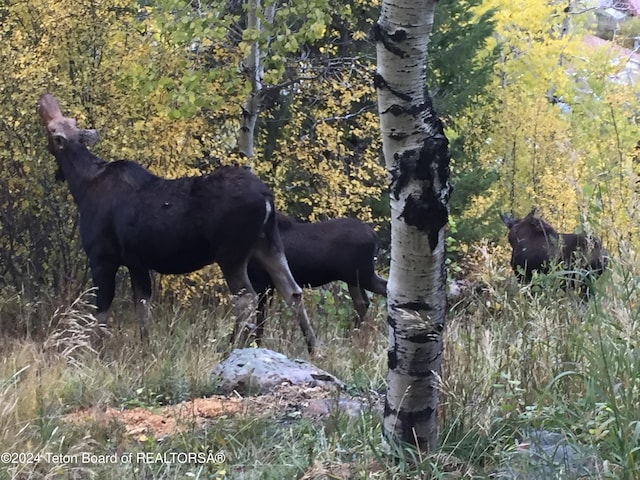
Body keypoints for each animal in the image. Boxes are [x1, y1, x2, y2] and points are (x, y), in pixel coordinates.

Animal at [37, 93, 318, 352]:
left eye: (51, 131)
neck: (81, 187)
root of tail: (267, 198)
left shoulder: (102, 257)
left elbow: (102, 313)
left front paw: (96, 352)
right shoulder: (136, 262)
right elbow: (143, 307)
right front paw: (145, 347)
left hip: (231, 253)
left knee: (246, 297)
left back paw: (231, 346)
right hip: (269, 243)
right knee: (292, 291)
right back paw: (313, 347)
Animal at [248, 214, 388, 338]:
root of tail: (375, 237)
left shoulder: (261, 281)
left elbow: (260, 317)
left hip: (361, 274)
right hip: (354, 278)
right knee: (362, 302)